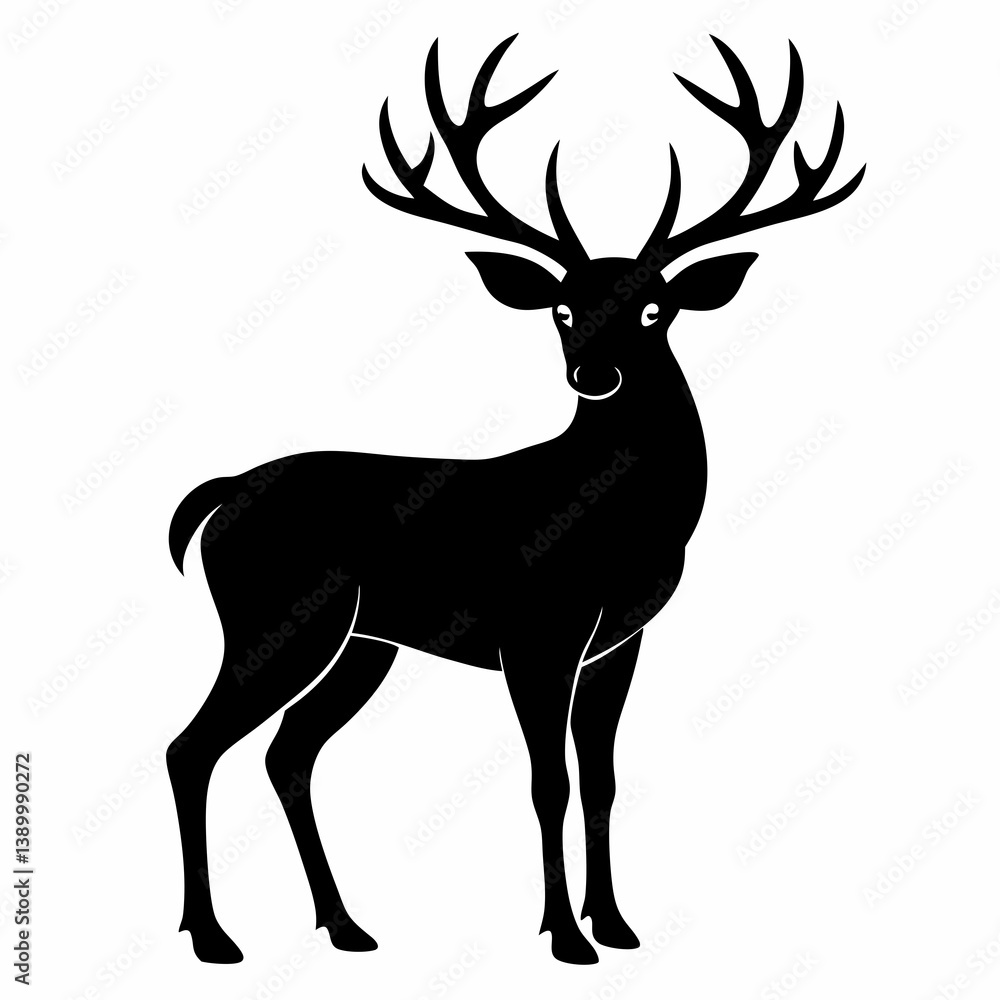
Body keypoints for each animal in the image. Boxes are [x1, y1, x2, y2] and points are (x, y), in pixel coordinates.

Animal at [166, 34, 864, 966]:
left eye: (655, 308)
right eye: (563, 309)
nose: (593, 374)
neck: (614, 522)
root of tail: (219, 496)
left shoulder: (617, 643)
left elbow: (602, 779)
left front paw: (617, 925)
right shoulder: (536, 632)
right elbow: (548, 782)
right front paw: (565, 936)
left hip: (360, 644)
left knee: (288, 753)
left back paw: (346, 927)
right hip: (274, 618)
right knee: (192, 747)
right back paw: (213, 937)